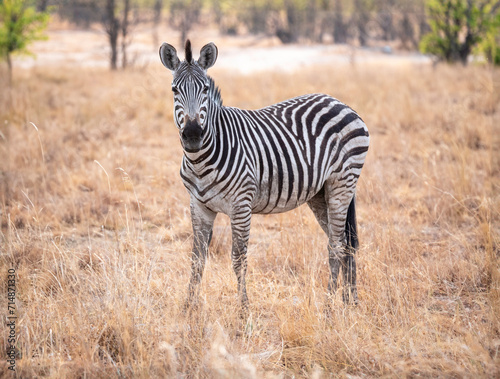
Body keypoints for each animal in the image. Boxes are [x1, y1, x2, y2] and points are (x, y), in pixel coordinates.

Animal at [158, 39, 370, 312]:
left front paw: (243, 310)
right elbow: (197, 257)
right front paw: (188, 308)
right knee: (345, 242)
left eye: (204, 89)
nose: (193, 135)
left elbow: (238, 259)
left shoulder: (241, 205)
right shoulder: (199, 205)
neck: (201, 161)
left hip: (342, 183)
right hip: (320, 194)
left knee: (336, 245)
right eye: (174, 90)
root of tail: (339, 102)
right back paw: (349, 302)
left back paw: (329, 307)